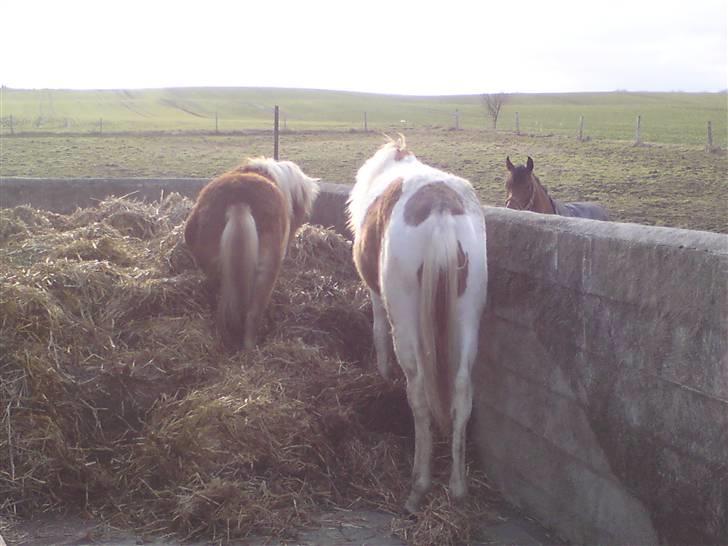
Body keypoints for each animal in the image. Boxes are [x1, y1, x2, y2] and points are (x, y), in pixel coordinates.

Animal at [348, 135, 490, 510]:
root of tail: (439, 211)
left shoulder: (377, 296)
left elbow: (378, 332)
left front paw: (383, 375)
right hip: (468, 319)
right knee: (462, 391)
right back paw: (457, 487)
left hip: (407, 322)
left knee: (420, 393)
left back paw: (419, 485)